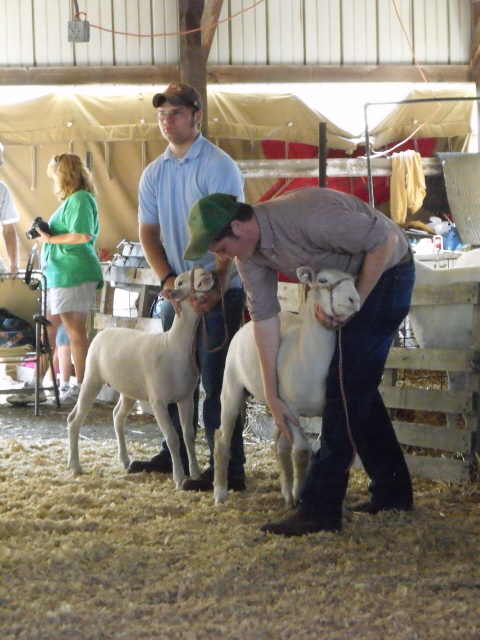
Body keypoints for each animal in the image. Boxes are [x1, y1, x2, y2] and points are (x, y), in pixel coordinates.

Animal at [67, 267, 214, 487]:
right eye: (179, 282)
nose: (205, 272)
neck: (173, 344)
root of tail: (102, 331)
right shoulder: (158, 401)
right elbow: (173, 438)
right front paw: (179, 478)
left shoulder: (186, 398)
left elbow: (188, 436)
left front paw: (195, 474)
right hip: (92, 378)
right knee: (75, 419)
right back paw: (76, 466)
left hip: (128, 390)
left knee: (117, 417)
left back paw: (124, 460)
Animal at [214, 267, 360, 507]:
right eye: (323, 280)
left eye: (353, 281)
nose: (354, 299)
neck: (308, 354)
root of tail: (246, 325)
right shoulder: (290, 408)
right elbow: (301, 452)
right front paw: (299, 493)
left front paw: (296, 492)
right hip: (232, 387)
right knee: (222, 438)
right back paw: (220, 492)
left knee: (279, 444)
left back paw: (286, 491)